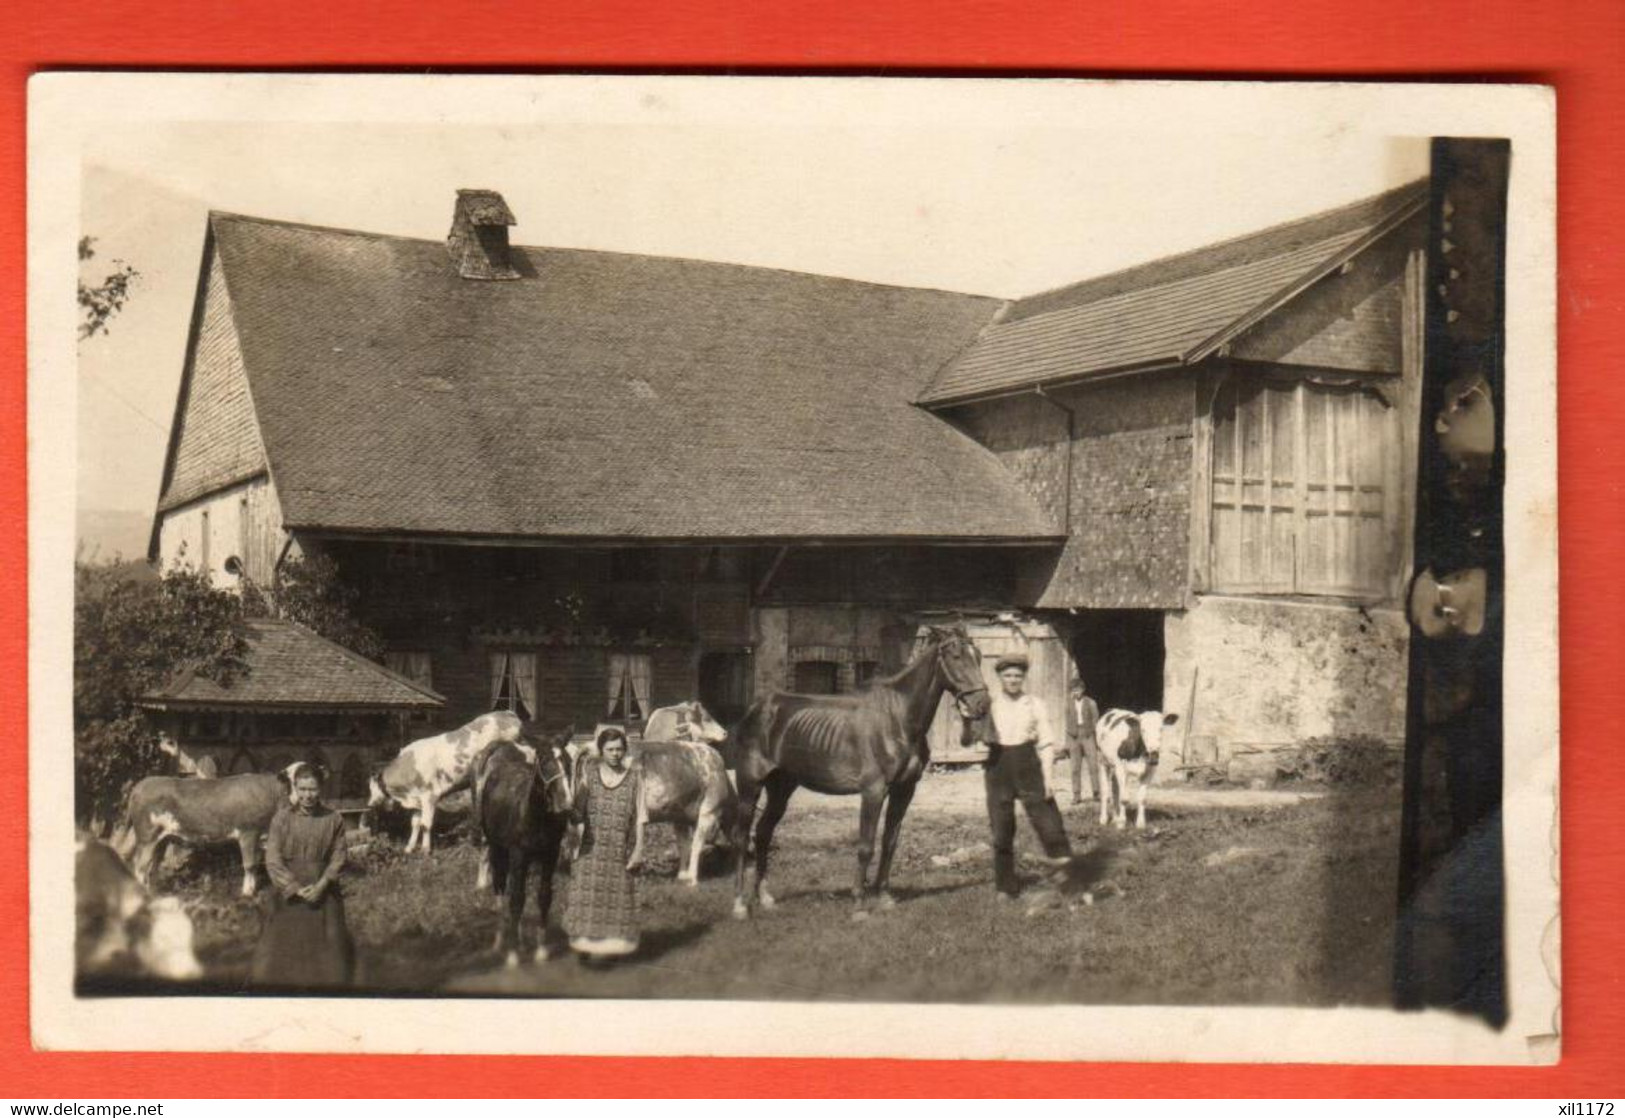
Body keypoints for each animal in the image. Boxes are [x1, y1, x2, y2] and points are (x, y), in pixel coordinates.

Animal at [114, 773, 289, 897]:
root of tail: (140, 786)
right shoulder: (249, 831)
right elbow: (249, 864)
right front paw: (247, 893)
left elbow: (258, 863)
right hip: (147, 837)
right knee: (140, 867)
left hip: (160, 840)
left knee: (151, 867)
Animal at [367, 711, 520, 851]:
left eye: (371, 788)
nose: (370, 804)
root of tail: (507, 713)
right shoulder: (417, 799)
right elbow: (415, 823)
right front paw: (409, 848)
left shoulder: (429, 796)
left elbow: (425, 825)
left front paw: (425, 850)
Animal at [734, 620, 988, 916]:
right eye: (956, 656)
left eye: (978, 657)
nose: (982, 705)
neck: (898, 719)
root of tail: (757, 708)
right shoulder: (873, 791)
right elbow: (866, 846)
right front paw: (859, 904)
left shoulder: (904, 790)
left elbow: (890, 841)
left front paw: (884, 897)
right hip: (749, 785)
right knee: (742, 837)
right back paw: (740, 904)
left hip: (781, 787)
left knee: (763, 832)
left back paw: (764, 897)